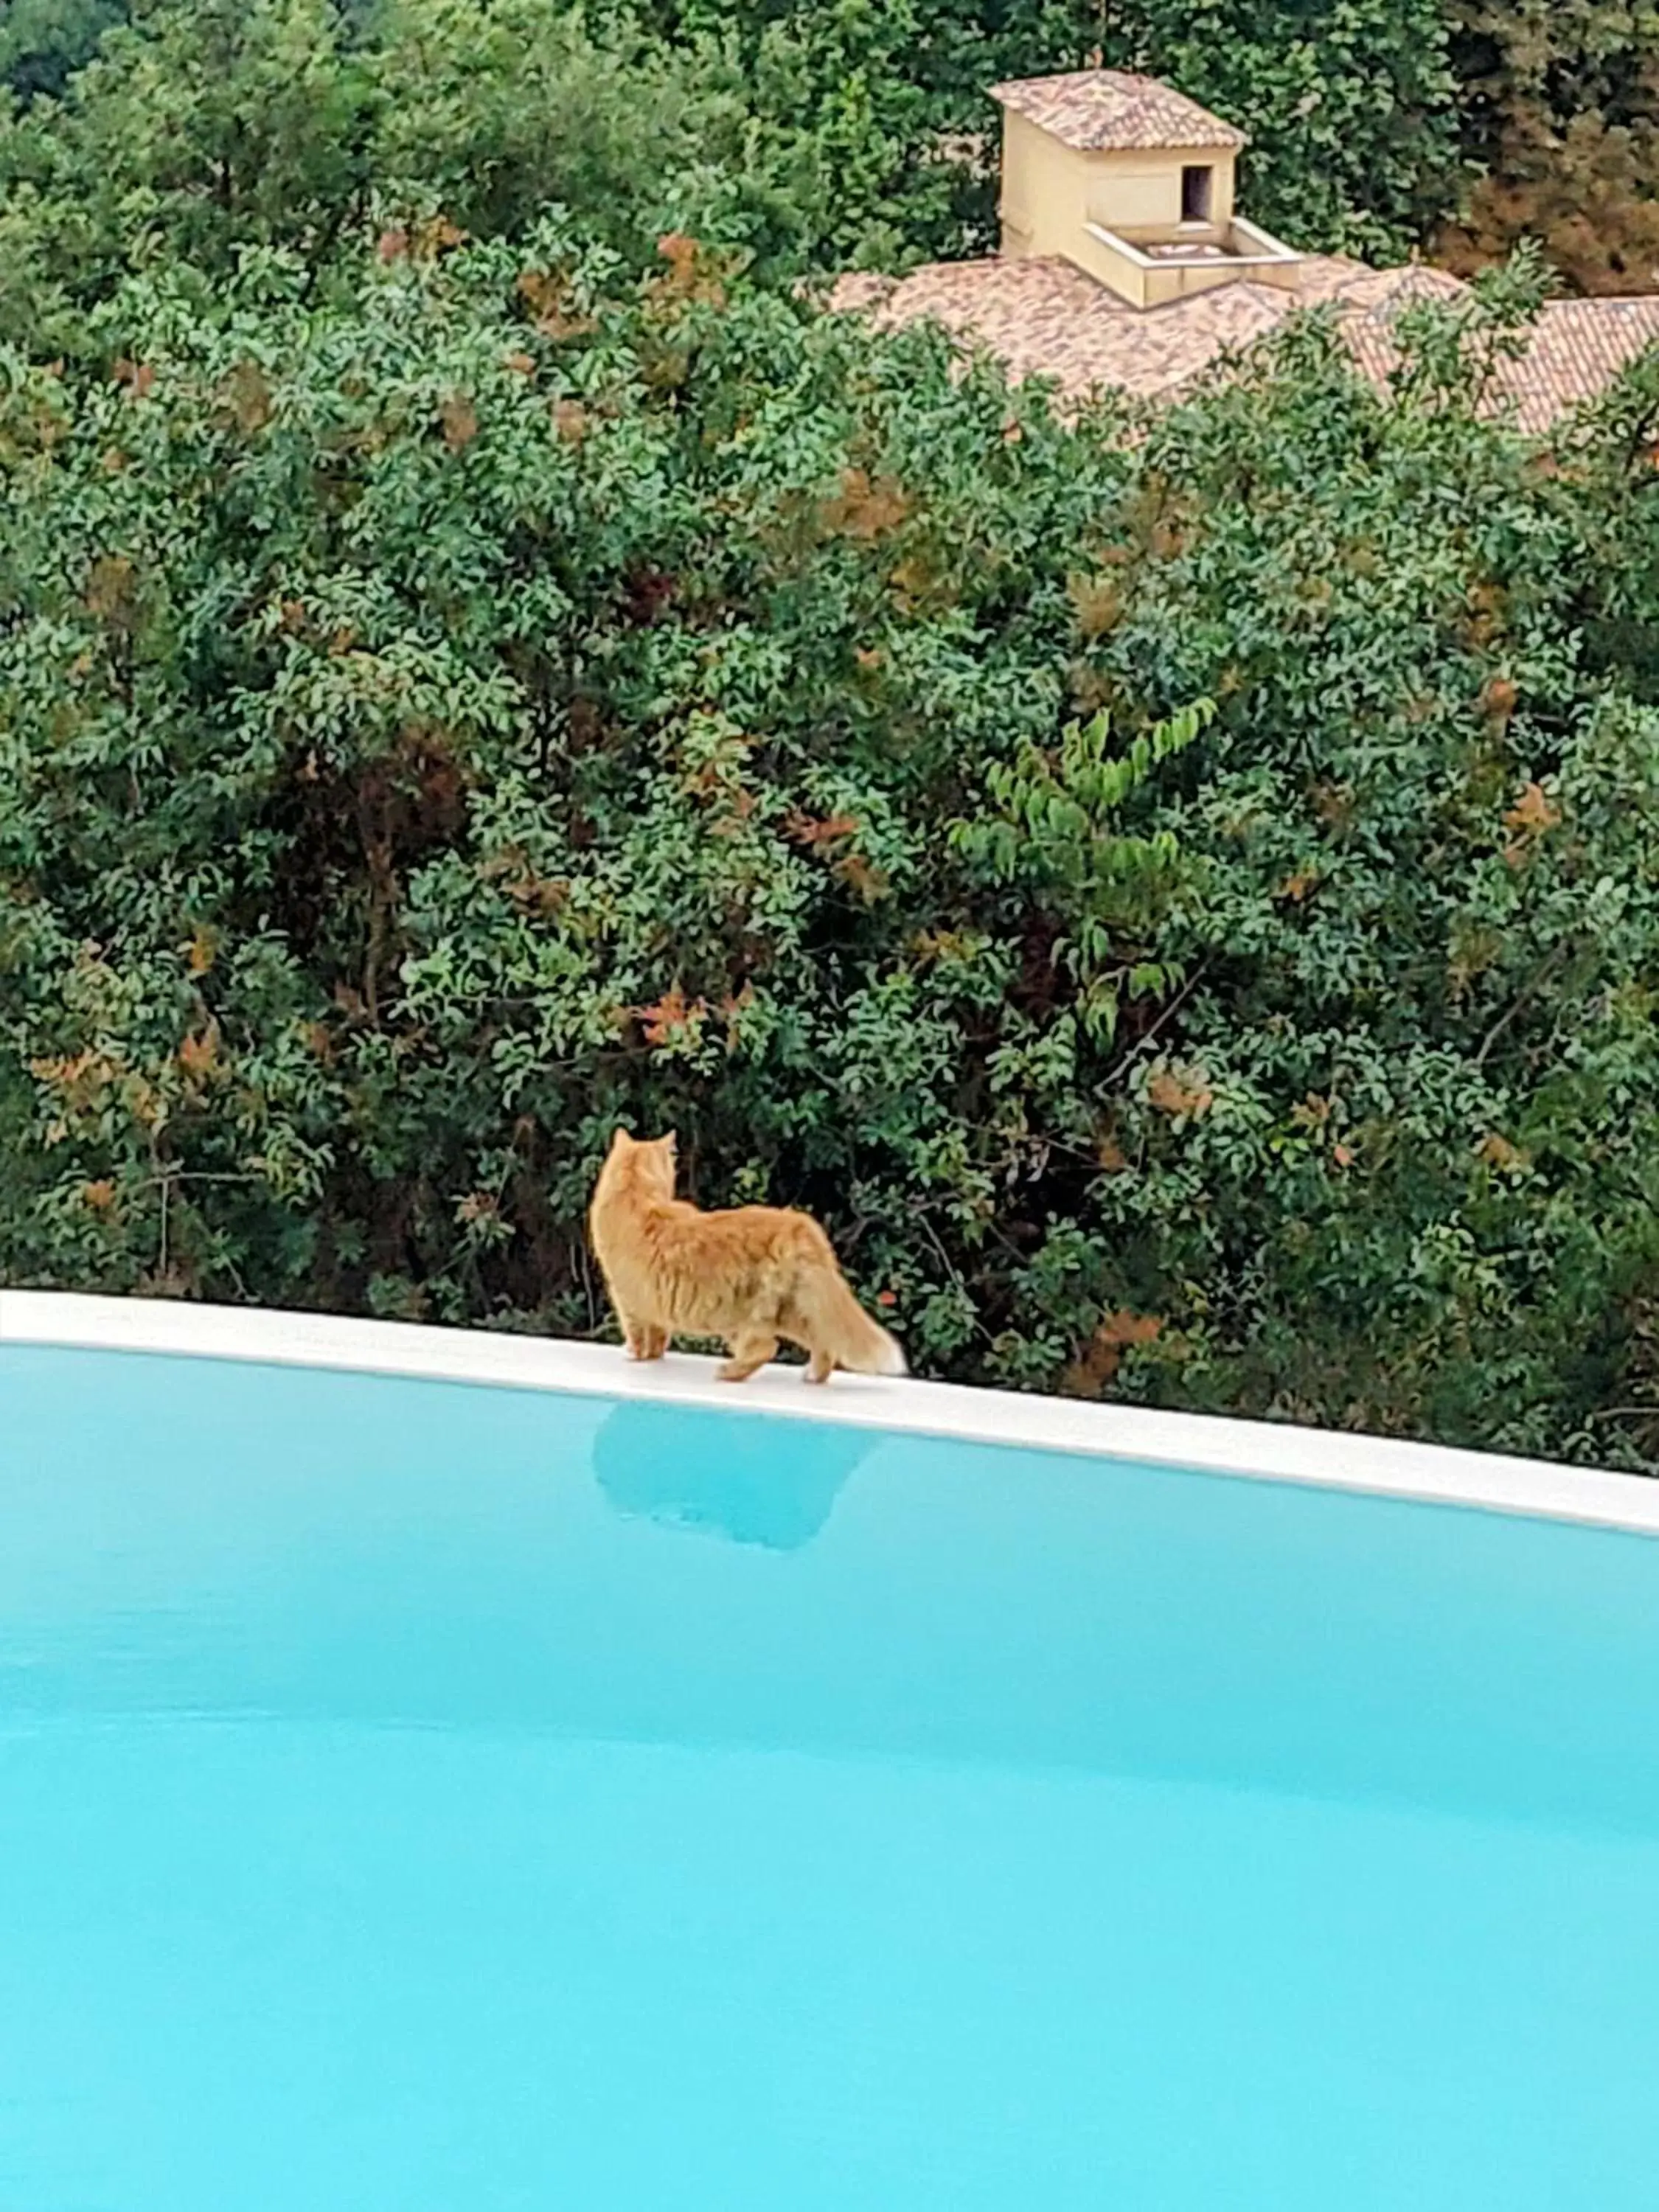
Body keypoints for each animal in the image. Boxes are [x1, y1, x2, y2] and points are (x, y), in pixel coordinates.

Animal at [593, 1133, 911, 1389]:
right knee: (823, 1344)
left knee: (765, 1349)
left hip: (746, 1315)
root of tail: (797, 1224)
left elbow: (638, 1335)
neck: (635, 1195)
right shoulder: (652, 1305)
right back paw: (812, 1376)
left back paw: (728, 1373)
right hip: (793, 1310)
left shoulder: (626, 1298)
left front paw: (636, 1355)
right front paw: (653, 1356)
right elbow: (657, 1337)